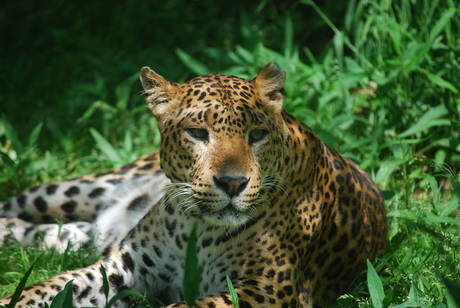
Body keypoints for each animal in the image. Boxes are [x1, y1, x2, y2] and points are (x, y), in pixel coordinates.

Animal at [0, 62, 388, 308]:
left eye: (257, 135)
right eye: (198, 133)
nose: (233, 183)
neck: (197, 226)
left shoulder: (267, 292)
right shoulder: (122, 269)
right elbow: (46, 288)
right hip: (69, 191)